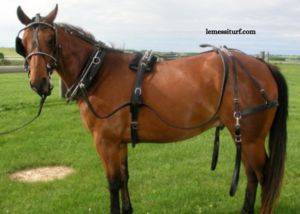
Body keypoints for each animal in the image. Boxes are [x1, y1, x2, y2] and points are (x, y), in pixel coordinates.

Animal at [15, 4, 288, 214]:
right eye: (24, 43)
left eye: (51, 40)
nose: (39, 83)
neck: (98, 72)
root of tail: (264, 65)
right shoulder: (119, 142)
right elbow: (124, 177)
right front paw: (128, 209)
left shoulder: (105, 142)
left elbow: (112, 183)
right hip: (241, 135)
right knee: (251, 175)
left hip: (251, 138)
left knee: (264, 176)